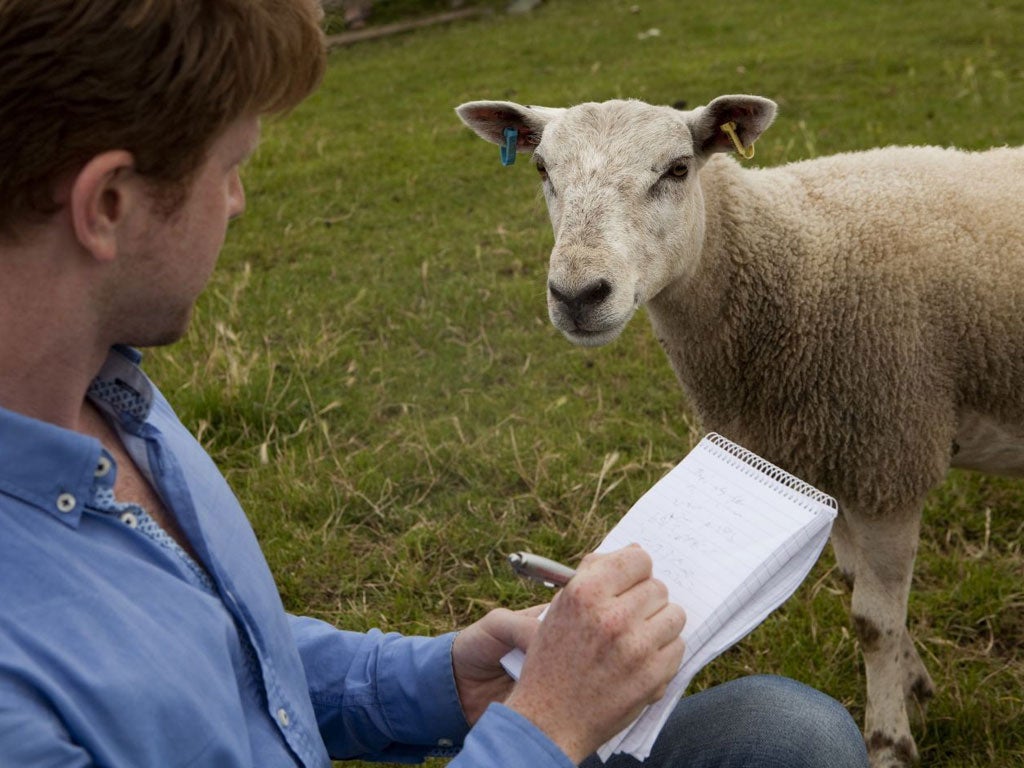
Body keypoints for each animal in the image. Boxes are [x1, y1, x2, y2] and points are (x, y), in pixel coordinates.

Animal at [456, 96, 1024, 768]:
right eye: (542, 168)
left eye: (678, 168)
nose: (578, 295)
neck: (791, 257)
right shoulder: (822, 461)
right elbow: (858, 588)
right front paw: (914, 685)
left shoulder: (887, 459)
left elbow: (872, 623)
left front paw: (889, 741)